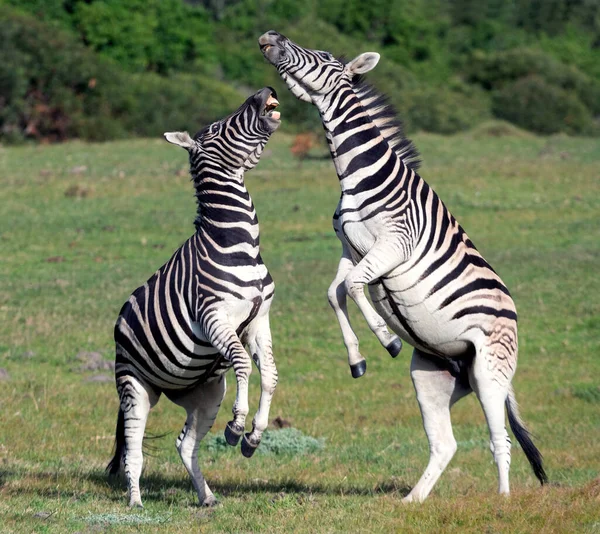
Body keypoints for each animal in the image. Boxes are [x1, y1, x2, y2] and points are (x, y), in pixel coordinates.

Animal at [107, 88, 282, 510]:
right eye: (218, 128)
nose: (265, 92)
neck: (238, 242)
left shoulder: (259, 319)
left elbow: (269, 374)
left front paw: (252, 436)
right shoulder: (214, 317)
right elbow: (243, 364)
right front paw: (236, 425)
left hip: (206, 391)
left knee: (185, 445)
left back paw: (207, 497)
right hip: (135, 386)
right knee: (134, 450)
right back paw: (136, 504)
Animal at [258, 31, 548, 504]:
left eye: (322, 56)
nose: (270, 37)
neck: (357, 174)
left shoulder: (394, 244)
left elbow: (357, 287)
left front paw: (386, 338)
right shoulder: (350, 247)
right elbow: (336, 292)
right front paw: (357, 358)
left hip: (490, 372)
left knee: (499, 438)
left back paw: (503, 502)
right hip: (433, 375)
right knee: (445, 443)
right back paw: (413, 500)